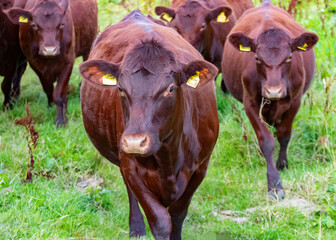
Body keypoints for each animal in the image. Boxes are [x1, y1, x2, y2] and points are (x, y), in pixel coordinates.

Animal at [79, 9, 219, 240]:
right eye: (120, 88)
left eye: (170, 88)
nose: (135, 141)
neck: (169, 154)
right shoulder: (131, 167)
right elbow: (160, 221)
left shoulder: (200, 167)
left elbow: (177, 215)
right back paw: (136, 228)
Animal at [220, 0, 318, 199]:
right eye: (257, 58)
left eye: (289, 57)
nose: (273, 90)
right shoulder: (250, 104)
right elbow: (266, 141)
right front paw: (274, 184)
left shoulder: (295, 101)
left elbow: (284, 135)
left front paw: (283, 163)